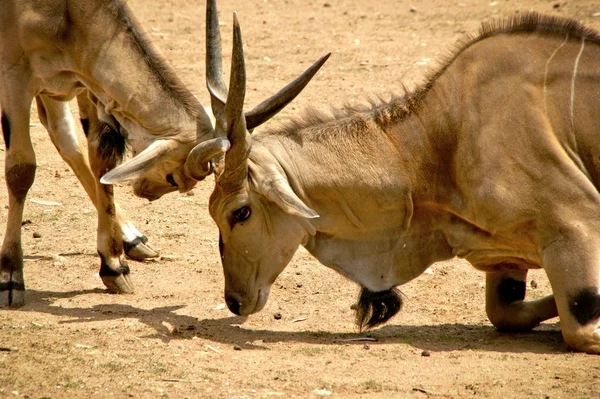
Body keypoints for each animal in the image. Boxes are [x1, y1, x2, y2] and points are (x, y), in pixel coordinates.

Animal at [1, 0, 328, 306]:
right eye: (173, 177)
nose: (147, 191)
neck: (68, 13)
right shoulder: (14, 81)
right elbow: (21, 170)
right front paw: (11, 277)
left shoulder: (87, 81)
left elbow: (102, 159)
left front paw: (114, 265)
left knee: (64, 135)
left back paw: (132, 238)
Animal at [209, 8, 600, 354]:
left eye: (241, 212)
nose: (234, 301)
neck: (439, 142)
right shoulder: (506, 258)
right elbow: (503, 314)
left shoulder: (577, 225)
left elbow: (580, 330)